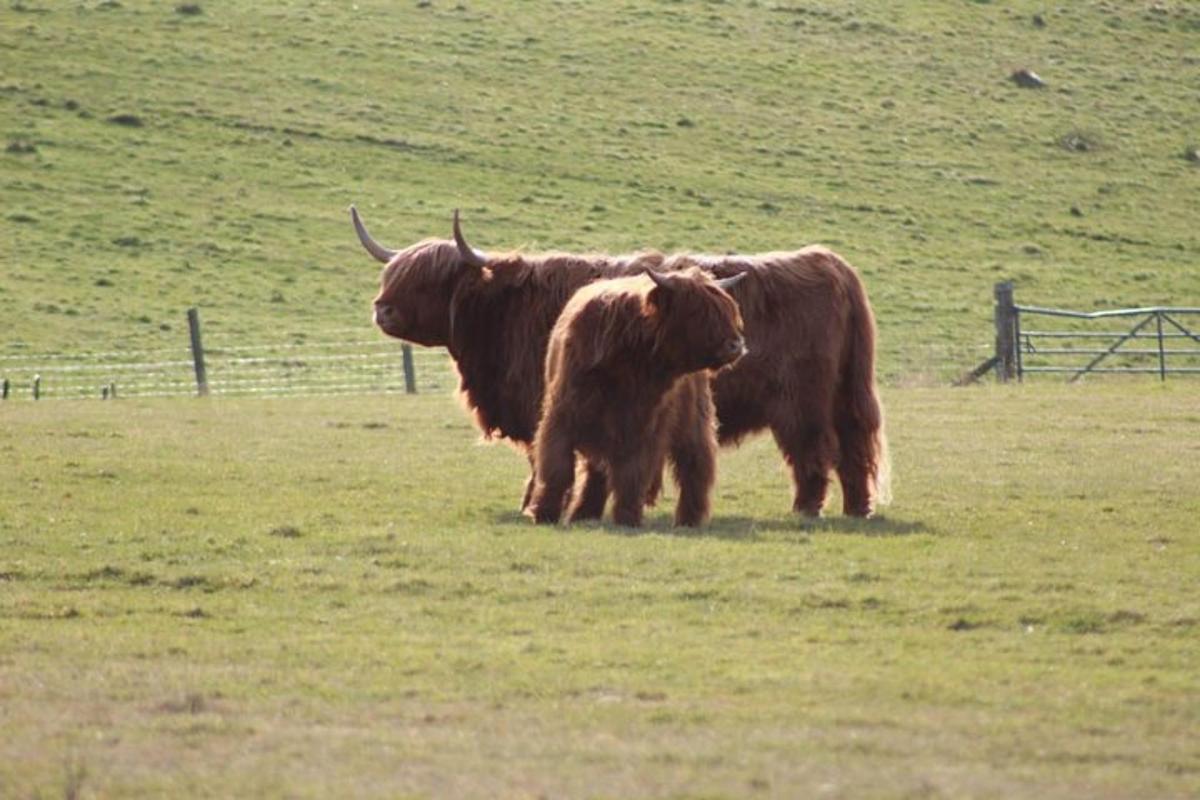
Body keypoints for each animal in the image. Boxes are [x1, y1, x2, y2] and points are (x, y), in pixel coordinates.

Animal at [530, 268, 744, 527]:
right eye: (696, 311)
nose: (736, 345)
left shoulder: (644, 426)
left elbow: (633, 473)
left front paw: (627, 518)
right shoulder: (562, 417)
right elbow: (557, 468)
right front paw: (544, 514)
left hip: (695, 420)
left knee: (695, 466)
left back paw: (689, 520)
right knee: (597, 470)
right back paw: (584, 514)